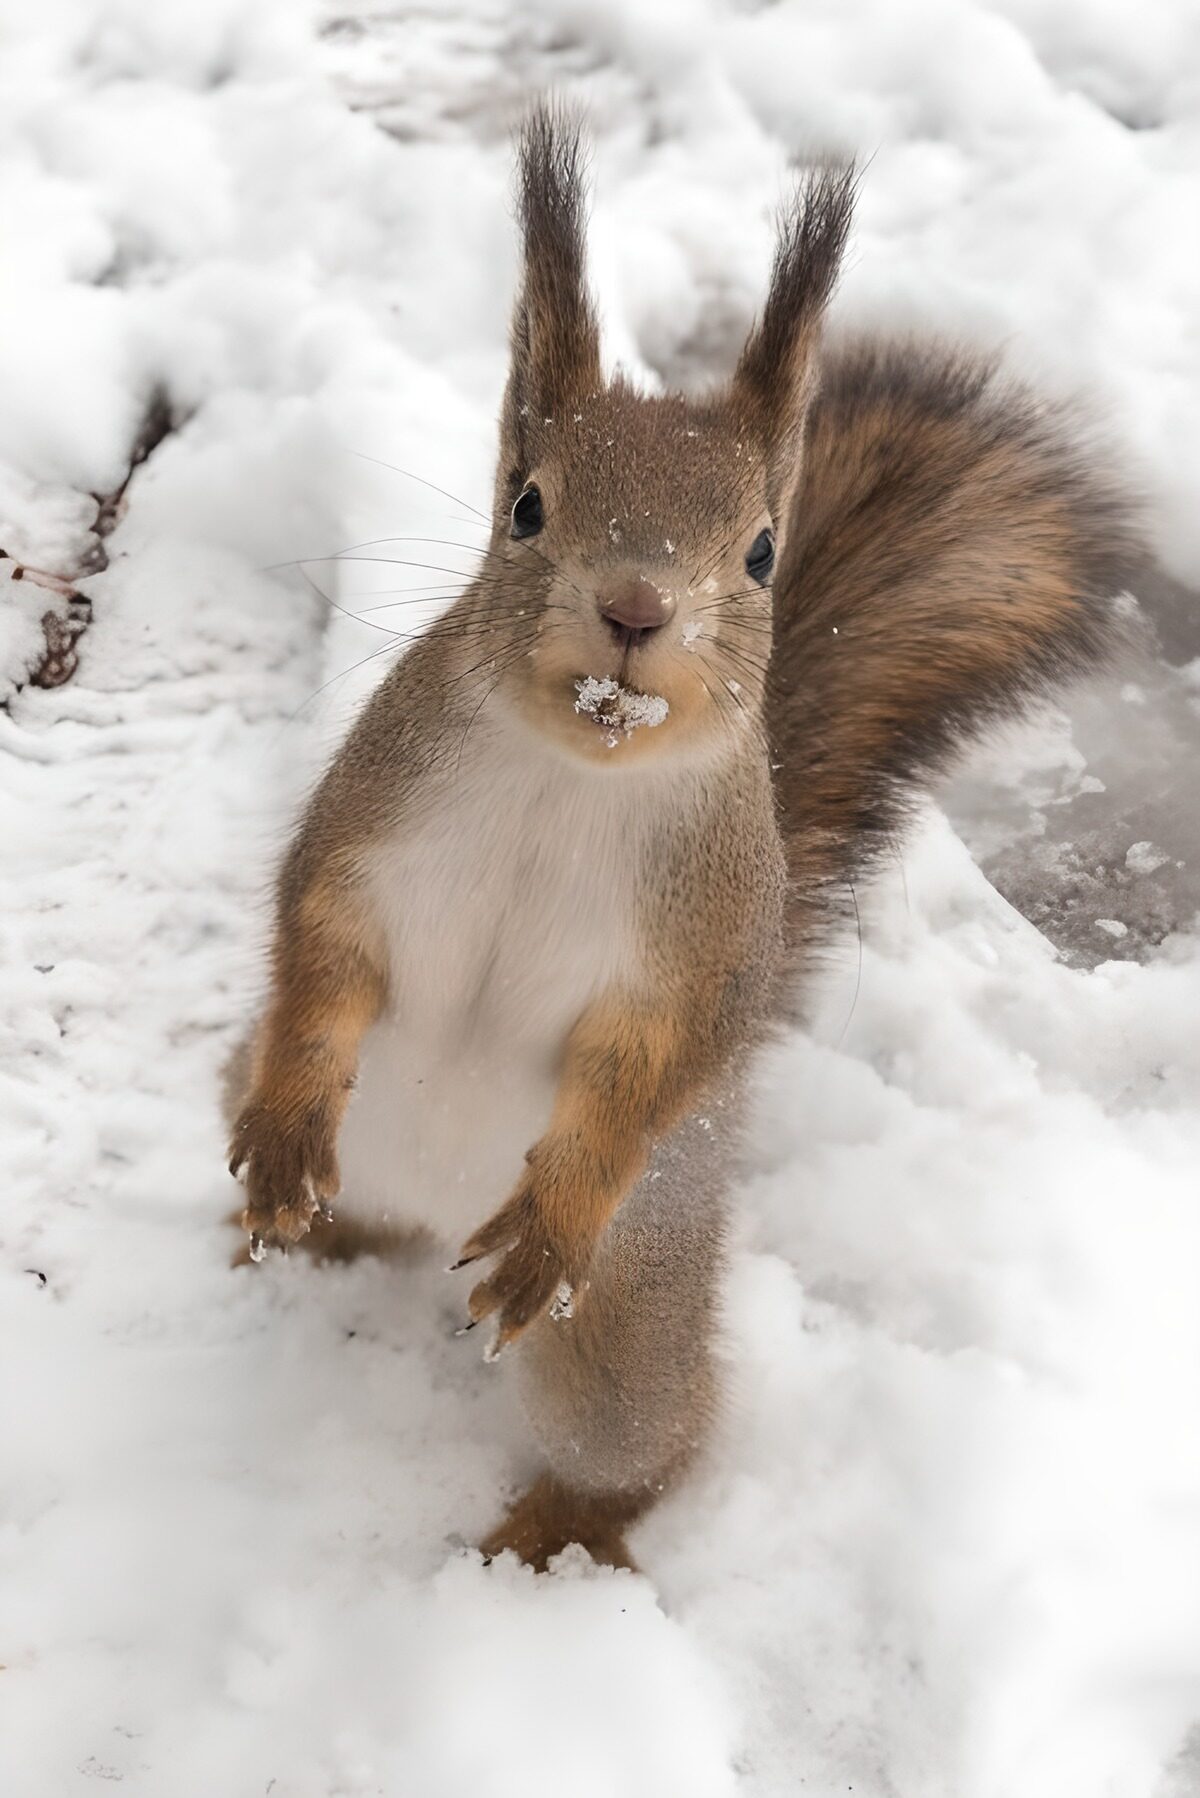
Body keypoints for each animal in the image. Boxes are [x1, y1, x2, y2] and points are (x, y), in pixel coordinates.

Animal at [226, 105, 1139, 1571]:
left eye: (762, 551)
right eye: (527, 504)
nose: (637, 608)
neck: (575, 773)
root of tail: (426, 1211)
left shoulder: (709, 930)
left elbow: (657, 1058)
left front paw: (557, 1211)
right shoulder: (370, 827)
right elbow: (320, 948)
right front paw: (288, 1125)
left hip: (622, 1330)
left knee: (645, 1446)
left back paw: (545, 1536)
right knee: (338, 1198)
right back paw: (287, 1220)